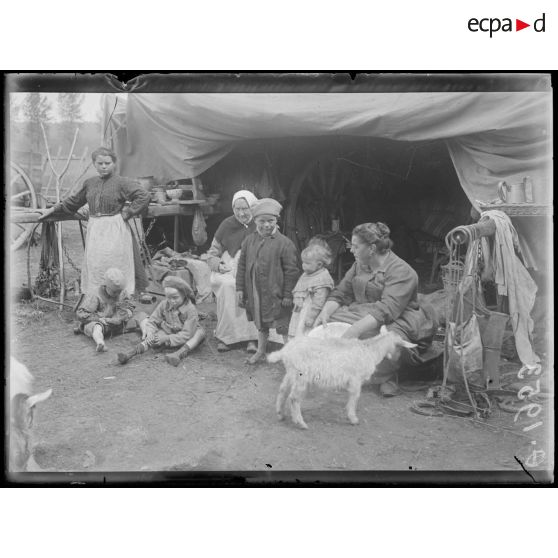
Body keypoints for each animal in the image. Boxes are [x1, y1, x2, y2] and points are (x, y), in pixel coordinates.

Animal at [270, 326, 418, 430]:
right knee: (294, 398)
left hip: (291, 373)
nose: (397, 359)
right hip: (302, 375)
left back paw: (280, 414)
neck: (371, 350)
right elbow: (355, 397)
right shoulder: (356, 379)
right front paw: (353, 418)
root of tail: (285, 351)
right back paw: (300, 423)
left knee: (282, 390)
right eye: (400, 348)